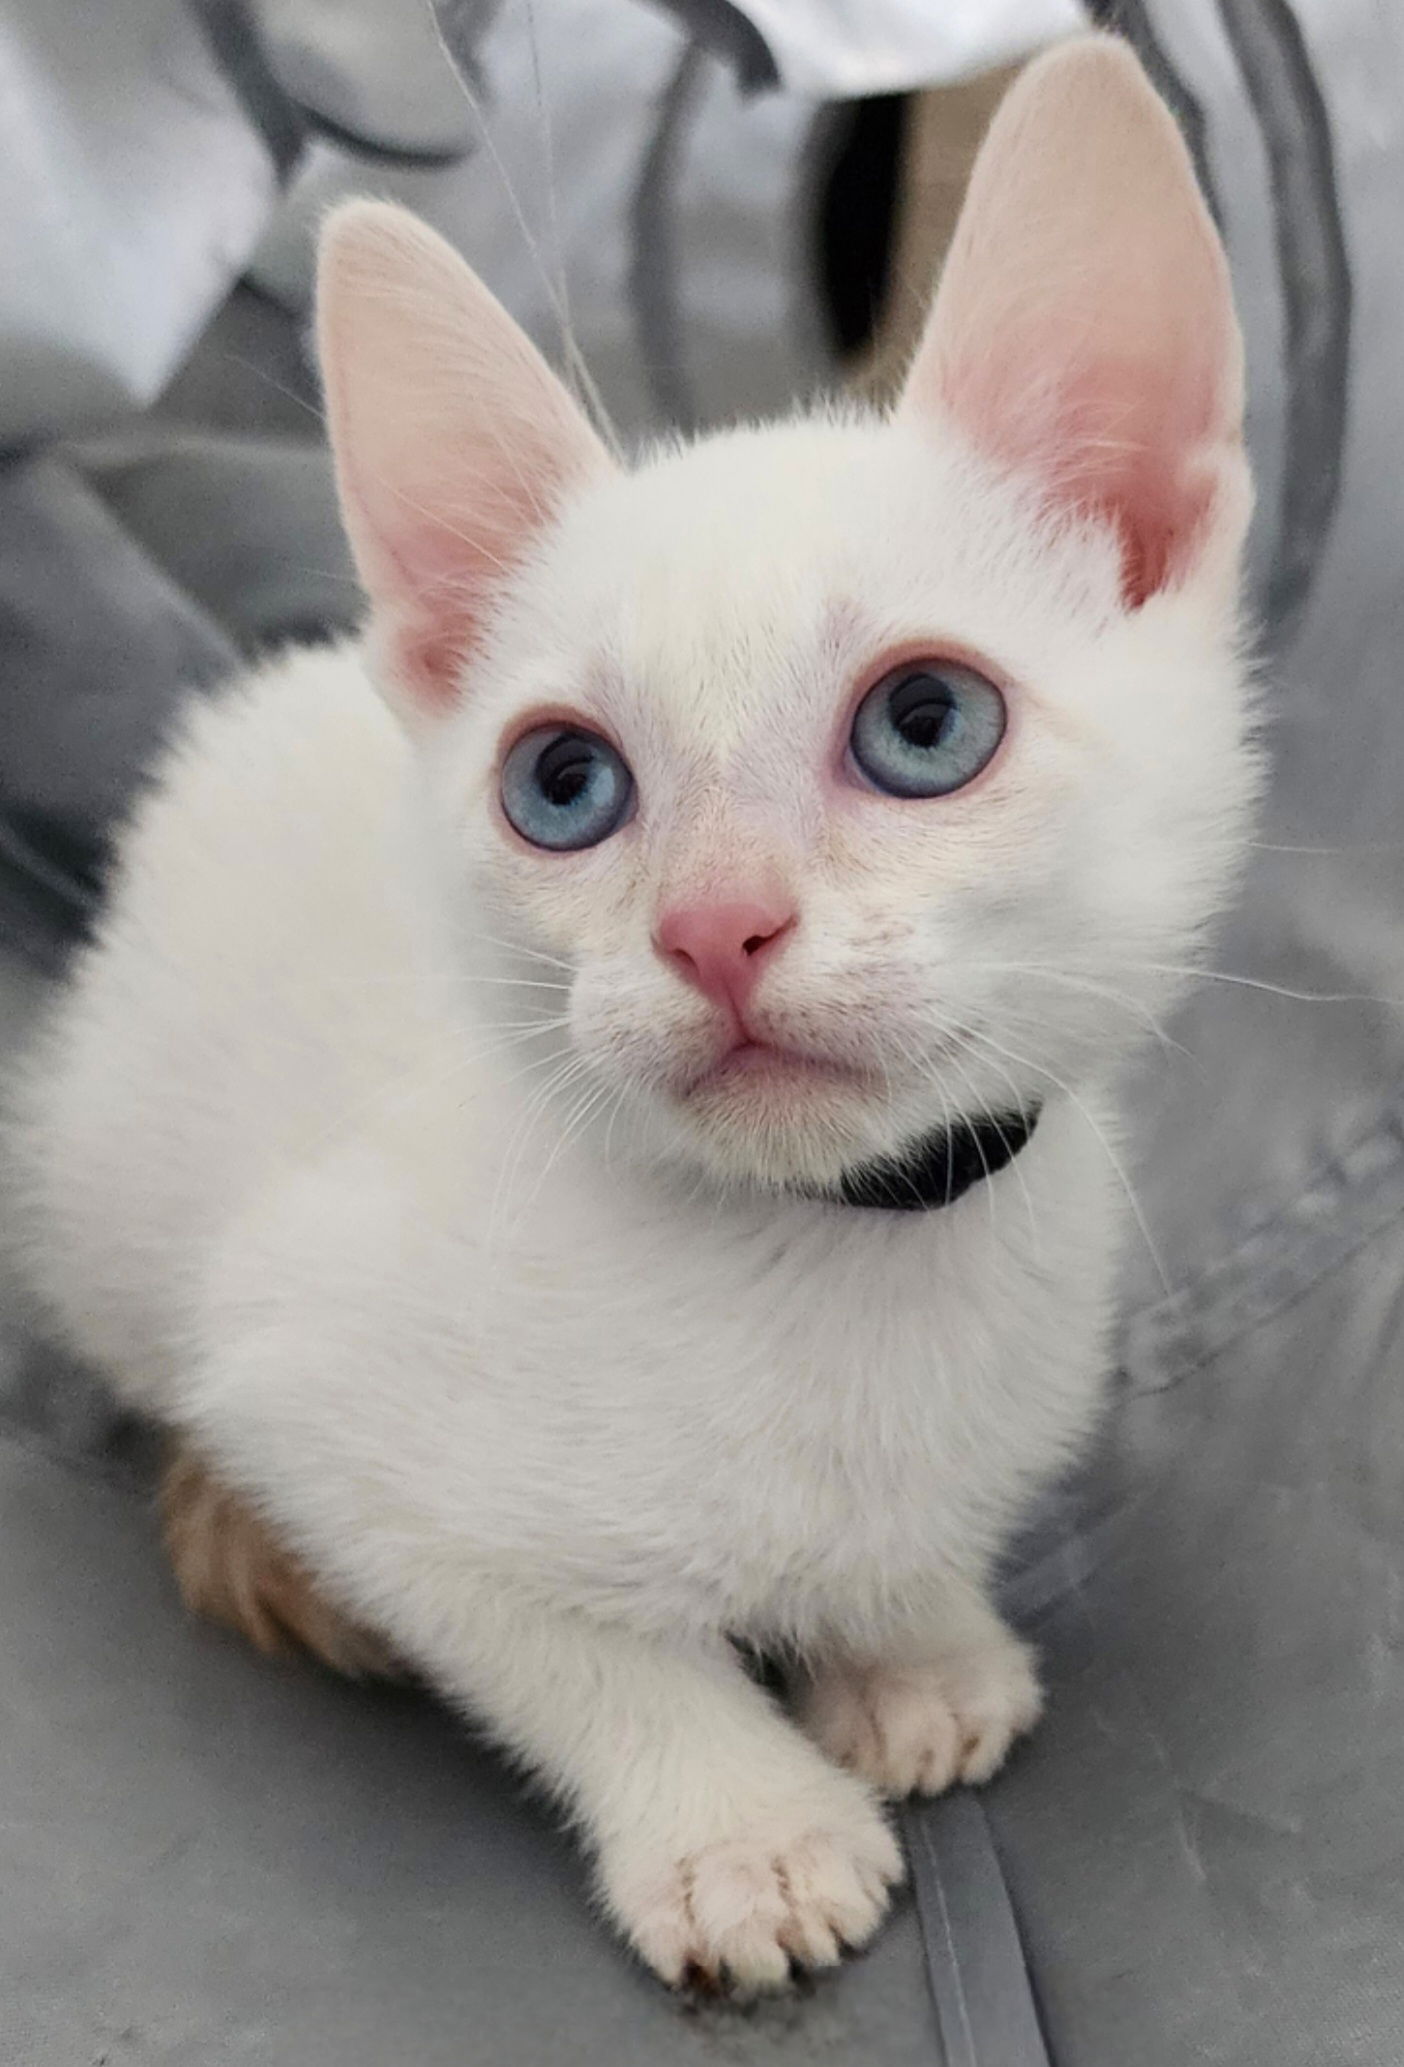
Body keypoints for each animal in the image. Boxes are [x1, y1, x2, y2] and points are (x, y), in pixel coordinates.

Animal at [16, 36, 1257, 1984]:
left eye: (925, 724)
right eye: (563, 782)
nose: (713, 926)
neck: (824, 1258)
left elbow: (904, 1541)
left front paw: (915, 1642)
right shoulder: (312, 1375)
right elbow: (559, 1635)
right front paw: (741, 1829)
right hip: (99, 1185)